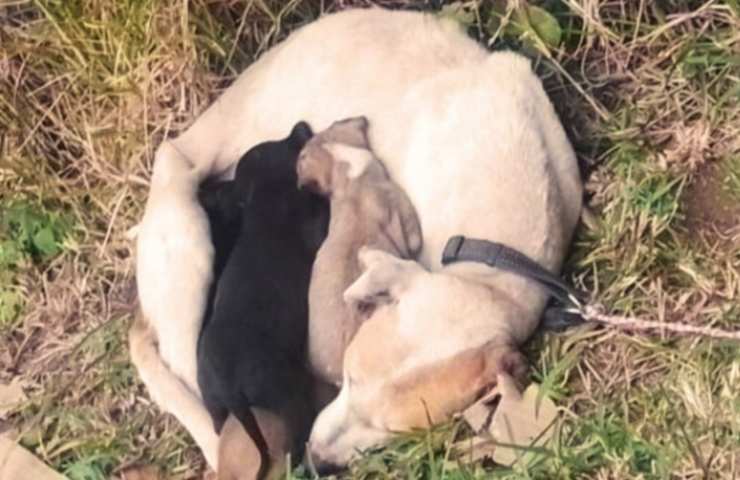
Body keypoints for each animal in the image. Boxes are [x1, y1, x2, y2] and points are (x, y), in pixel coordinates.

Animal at [199, 122, 330, 478]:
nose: (301, 126)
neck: (267, 199)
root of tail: (232, 388)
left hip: (214, 405)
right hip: (290, 396)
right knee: (297, 439)